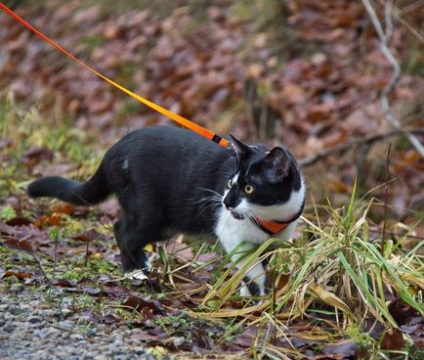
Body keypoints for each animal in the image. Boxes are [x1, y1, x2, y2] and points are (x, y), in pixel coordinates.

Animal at [27, 125, 304, 296]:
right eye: (229, 183)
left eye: (248, 188)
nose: (226, 202)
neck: (269, 217)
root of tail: (114, 150)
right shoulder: (231, 234)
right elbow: (250, 268)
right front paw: (257, 297)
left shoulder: (268, 244)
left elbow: (256, 265)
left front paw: (246, 295)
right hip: (152, 212)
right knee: (124, 232)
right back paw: (135, 273)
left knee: (123, 227)